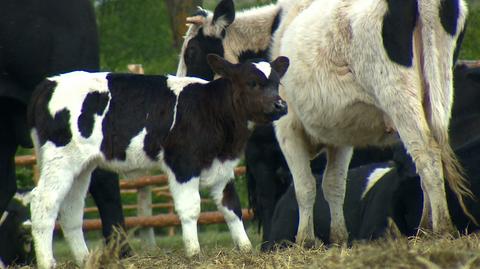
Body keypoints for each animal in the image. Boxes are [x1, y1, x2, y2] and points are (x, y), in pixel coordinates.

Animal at [29, 54, 288, 268]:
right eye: (252, 83)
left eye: (276, 83)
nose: (280, 105)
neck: (209, 109)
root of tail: (50, 83)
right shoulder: (182, 164)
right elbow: (191, 209)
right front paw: (194, 253)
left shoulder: (222, 169)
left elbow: (232, 207)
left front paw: (245, 249)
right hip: (60, 159)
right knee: (43, 203)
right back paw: (47, 262)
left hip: (82, 167)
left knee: (71, 210)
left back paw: (85, 260)